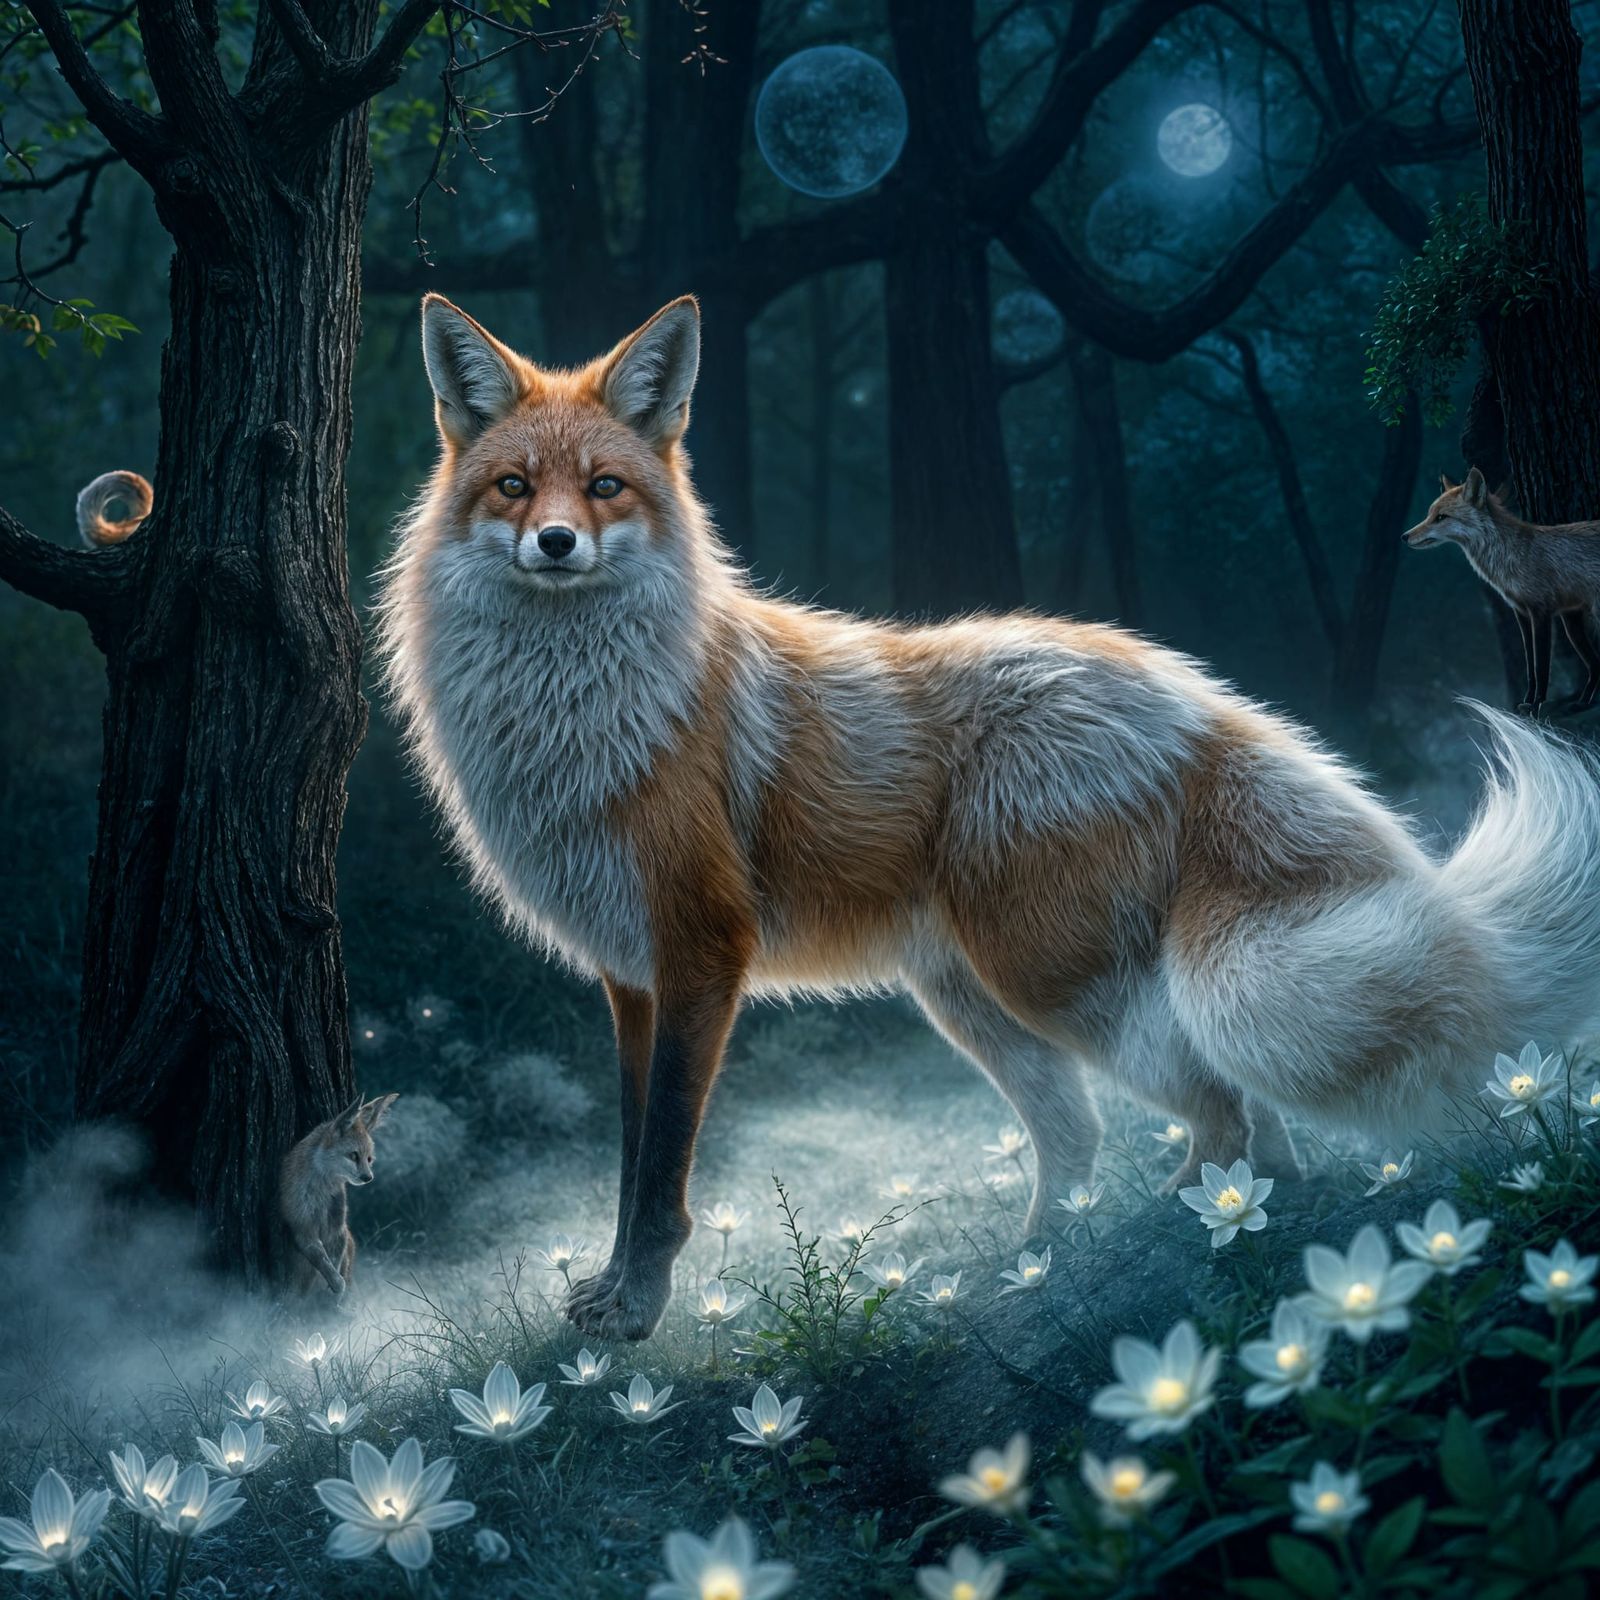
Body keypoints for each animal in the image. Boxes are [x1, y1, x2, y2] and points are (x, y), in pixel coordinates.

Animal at [278, 1094, 398, 1296]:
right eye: (354, 1155)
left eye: (369, 1159)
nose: (368, 1178)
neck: (321, 1194)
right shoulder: (303, 1229)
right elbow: (327, 1266)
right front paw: (333, 1288)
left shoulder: (338, 1228)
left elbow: (336, 1265)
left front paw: (333, 1293)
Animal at [1404, 467, 1600, 716]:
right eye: (1429, 514)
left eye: (1441, 517)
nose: (1404, 536)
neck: (1511, 557)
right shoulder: (1521, 613)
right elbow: (1530, 668)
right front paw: (1525, 704)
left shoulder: (1541, 612)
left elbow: (1541, 667)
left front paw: (1536, 706)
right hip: (1572, 624)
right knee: (1595, 664)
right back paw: (1583, 703)